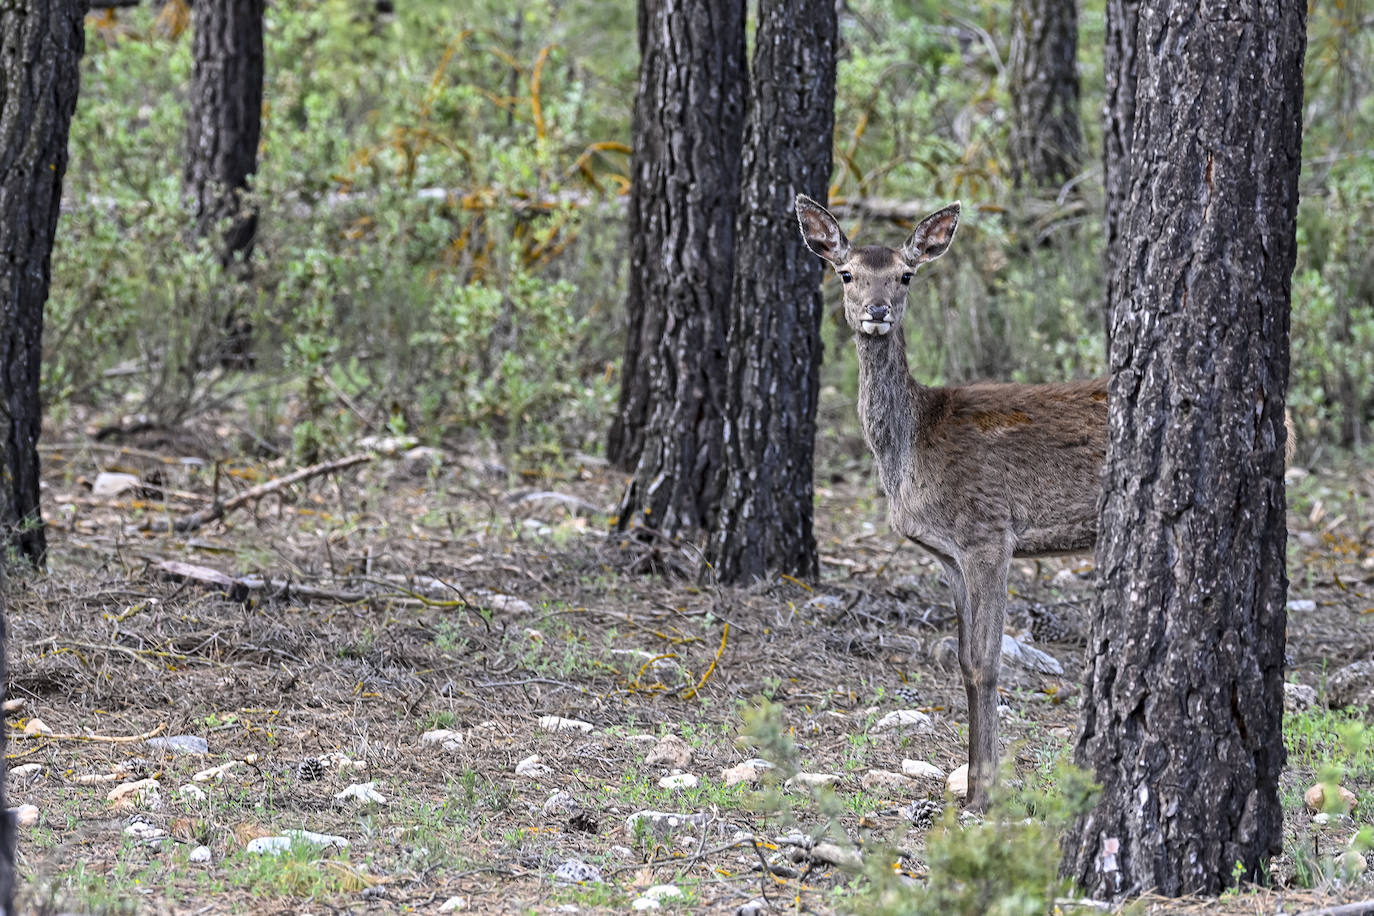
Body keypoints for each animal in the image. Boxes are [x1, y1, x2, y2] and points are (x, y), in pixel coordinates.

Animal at [796, 197, 1104, 813]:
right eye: (845, 273)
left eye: (906, 274)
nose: (877, 311)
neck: (913, 449)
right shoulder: (948, 555)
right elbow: (962, 662)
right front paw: (974, 787)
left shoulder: (989, 532)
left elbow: (987, 662)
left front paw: (984, 797)